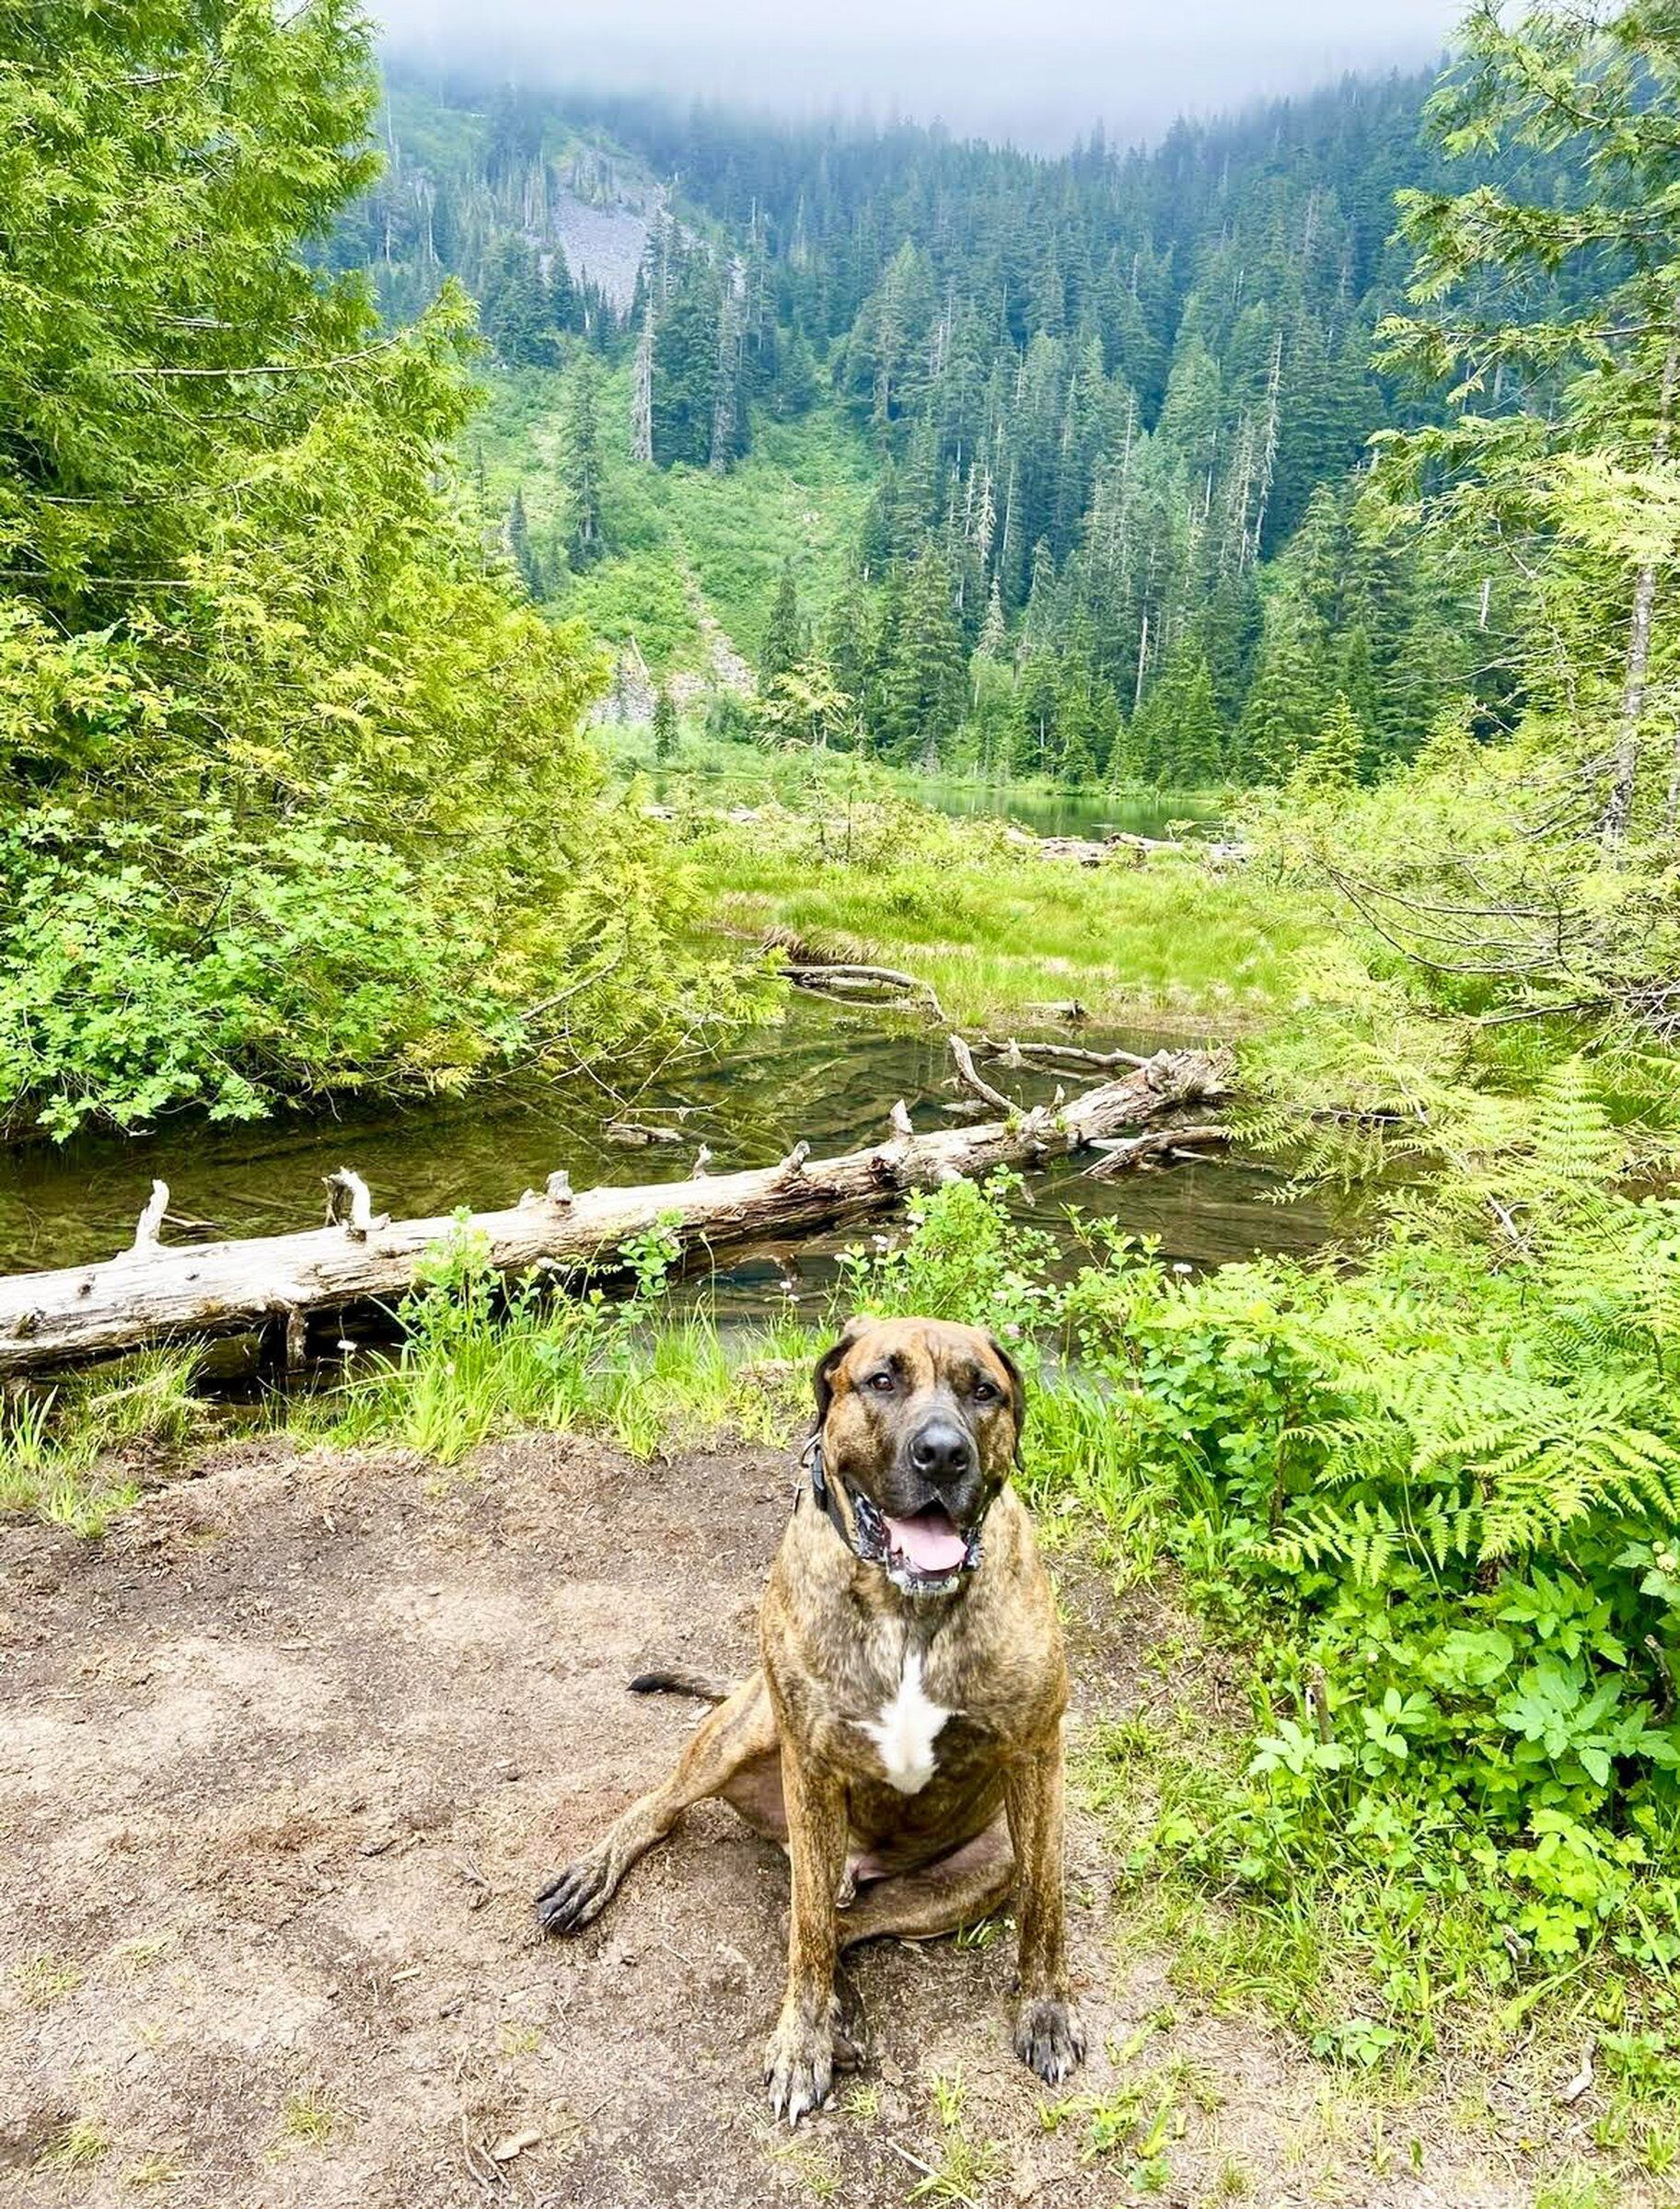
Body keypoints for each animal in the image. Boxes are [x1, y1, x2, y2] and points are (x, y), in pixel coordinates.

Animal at [537, 1307, 1087, 2121]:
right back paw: (595, 1874)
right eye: (881, 1380)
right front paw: (801, 2045)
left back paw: (844, 2014)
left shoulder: (1034, 1755)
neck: (903, 1606)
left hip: (981, 1866)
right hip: (747, 1735)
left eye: (982, 1391)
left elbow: (1045, 1910)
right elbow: (805, 1937)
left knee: (839, 1919)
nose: (942, 1454)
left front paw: (1046, 2013)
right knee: (678, 1820)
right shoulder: (811, 1762)